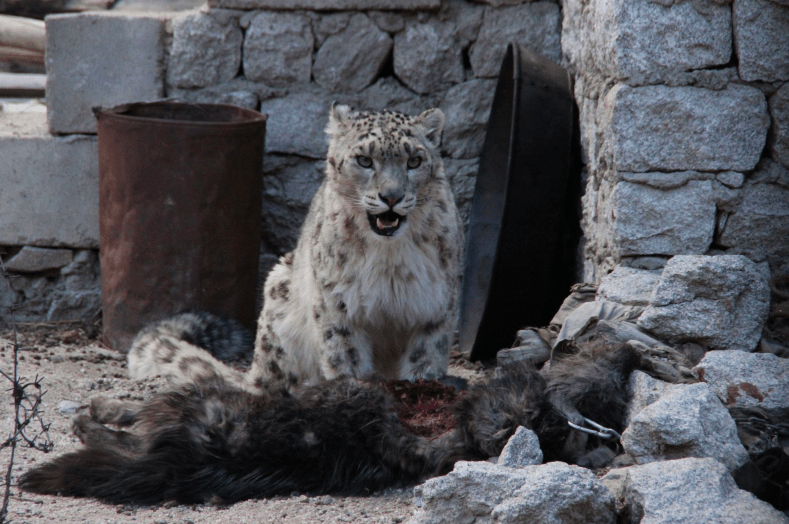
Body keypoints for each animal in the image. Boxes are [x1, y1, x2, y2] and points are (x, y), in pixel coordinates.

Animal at [126, 105, 464, 392]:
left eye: (414, 161)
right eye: (364, 160)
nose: (391, 197)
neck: (388, 257)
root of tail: (255, 371)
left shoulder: (434, 307)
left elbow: (426, 358)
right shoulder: (338, 304)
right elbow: (345, 358)